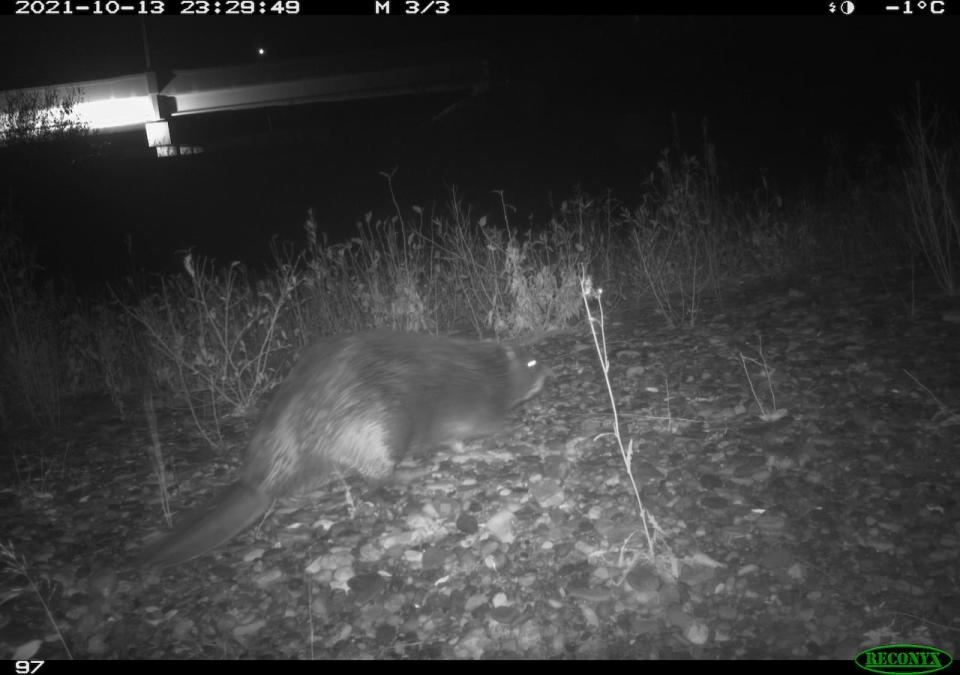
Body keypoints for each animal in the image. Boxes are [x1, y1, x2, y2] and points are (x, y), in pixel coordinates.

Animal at [139, 330, 552, 568]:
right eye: (532, 361)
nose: (547, 372)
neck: (483, 368)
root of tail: (258, 482)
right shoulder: (470, 405)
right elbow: (475, 431)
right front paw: (509, 433)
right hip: (379, 426)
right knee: (376, 477)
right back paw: (415, 473)